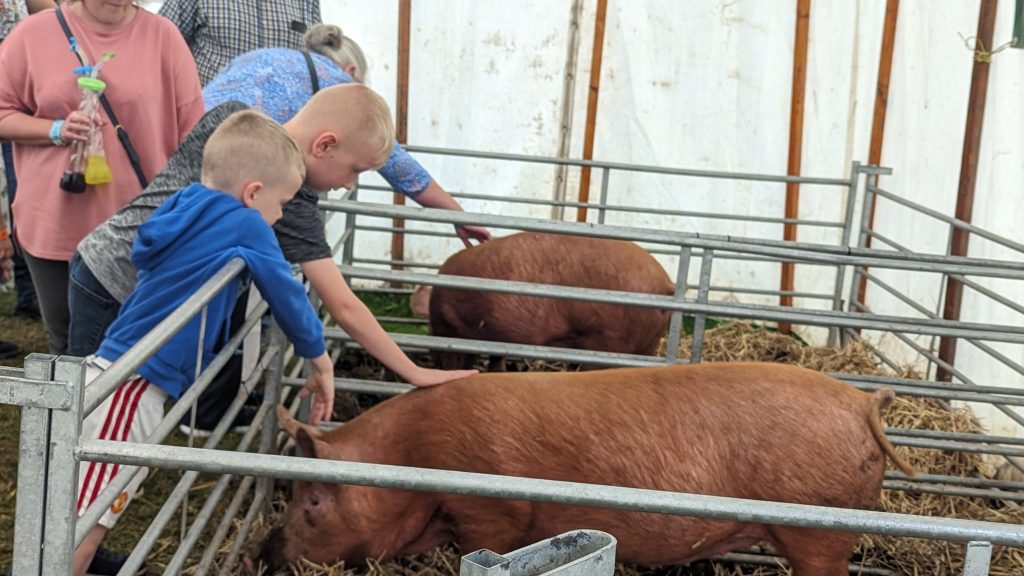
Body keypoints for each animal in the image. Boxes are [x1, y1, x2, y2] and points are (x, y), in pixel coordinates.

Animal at [256, 360, 913, 569]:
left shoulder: (491, 508)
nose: (260, 553)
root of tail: (863, 403)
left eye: (310, 501)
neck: (415, 459)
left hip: (819, 528)